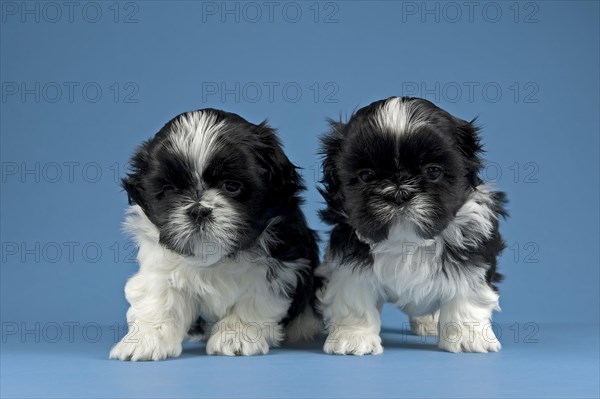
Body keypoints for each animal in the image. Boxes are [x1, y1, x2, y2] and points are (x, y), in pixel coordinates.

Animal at [110, 108, 322, 360]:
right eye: (170, 190)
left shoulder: (279, 266)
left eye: (231, 186)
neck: (216, 258)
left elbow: (253, 300)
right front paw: (145, 340)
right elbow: (159, 299)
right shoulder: (160, 266)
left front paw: (236, 335)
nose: (198, 210)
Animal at [318, 97, 506, 356]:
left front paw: (469, 336)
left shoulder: (472, 247)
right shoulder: (350, 261)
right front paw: (354, 337)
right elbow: (353, 297)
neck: (407, 241)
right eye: (366, 175)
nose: (399, 192)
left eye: (433, 171)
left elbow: (468, 293)